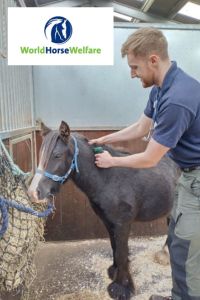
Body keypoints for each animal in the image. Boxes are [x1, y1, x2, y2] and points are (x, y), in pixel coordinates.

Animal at [28, 120, 180, 298]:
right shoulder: (108, 222)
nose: (34, 192)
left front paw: (122, 288)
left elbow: (121, 253)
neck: (109, 179)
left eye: (57, 155)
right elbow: (115, 248)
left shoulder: (122, 224)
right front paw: (114, 272)